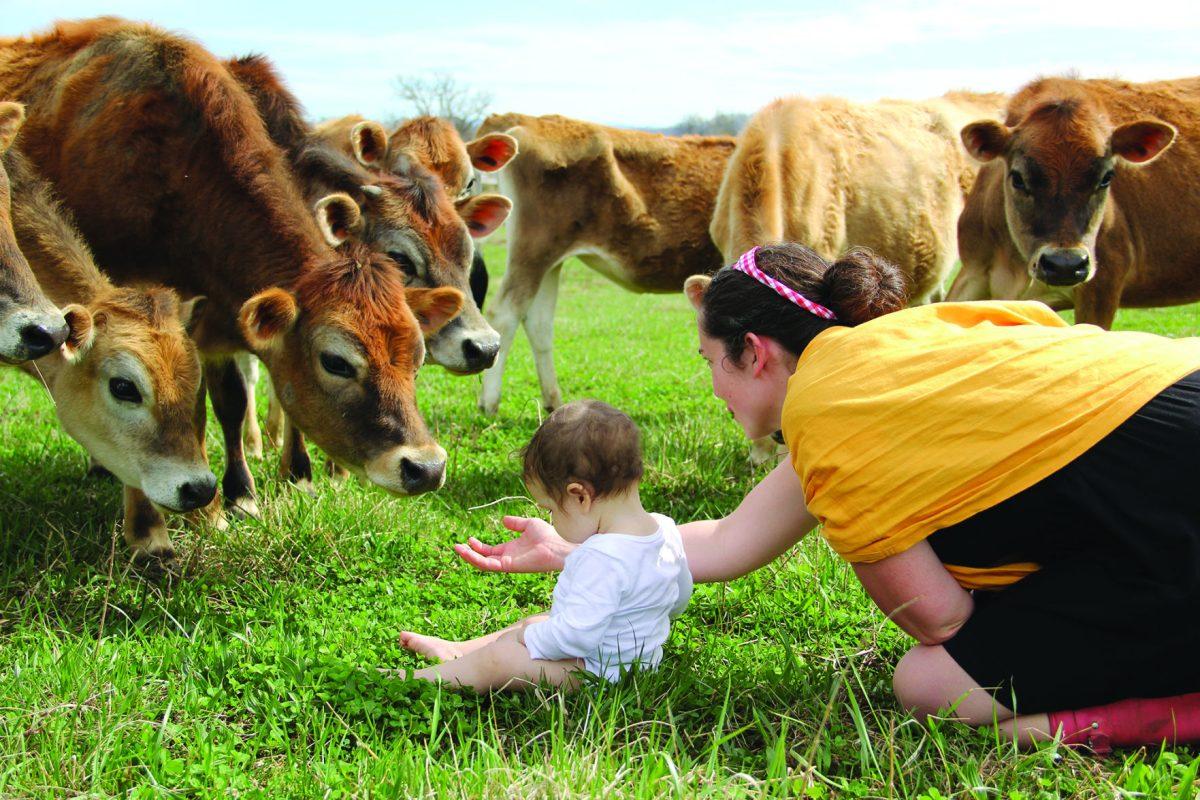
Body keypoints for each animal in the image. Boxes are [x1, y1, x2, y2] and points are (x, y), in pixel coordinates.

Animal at [466, 112, 737, 415]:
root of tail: (529, 119)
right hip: (533, 250)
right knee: (504, 314)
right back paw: (489, 403)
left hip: (549, 261)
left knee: (538, 323)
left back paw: (553, 401)